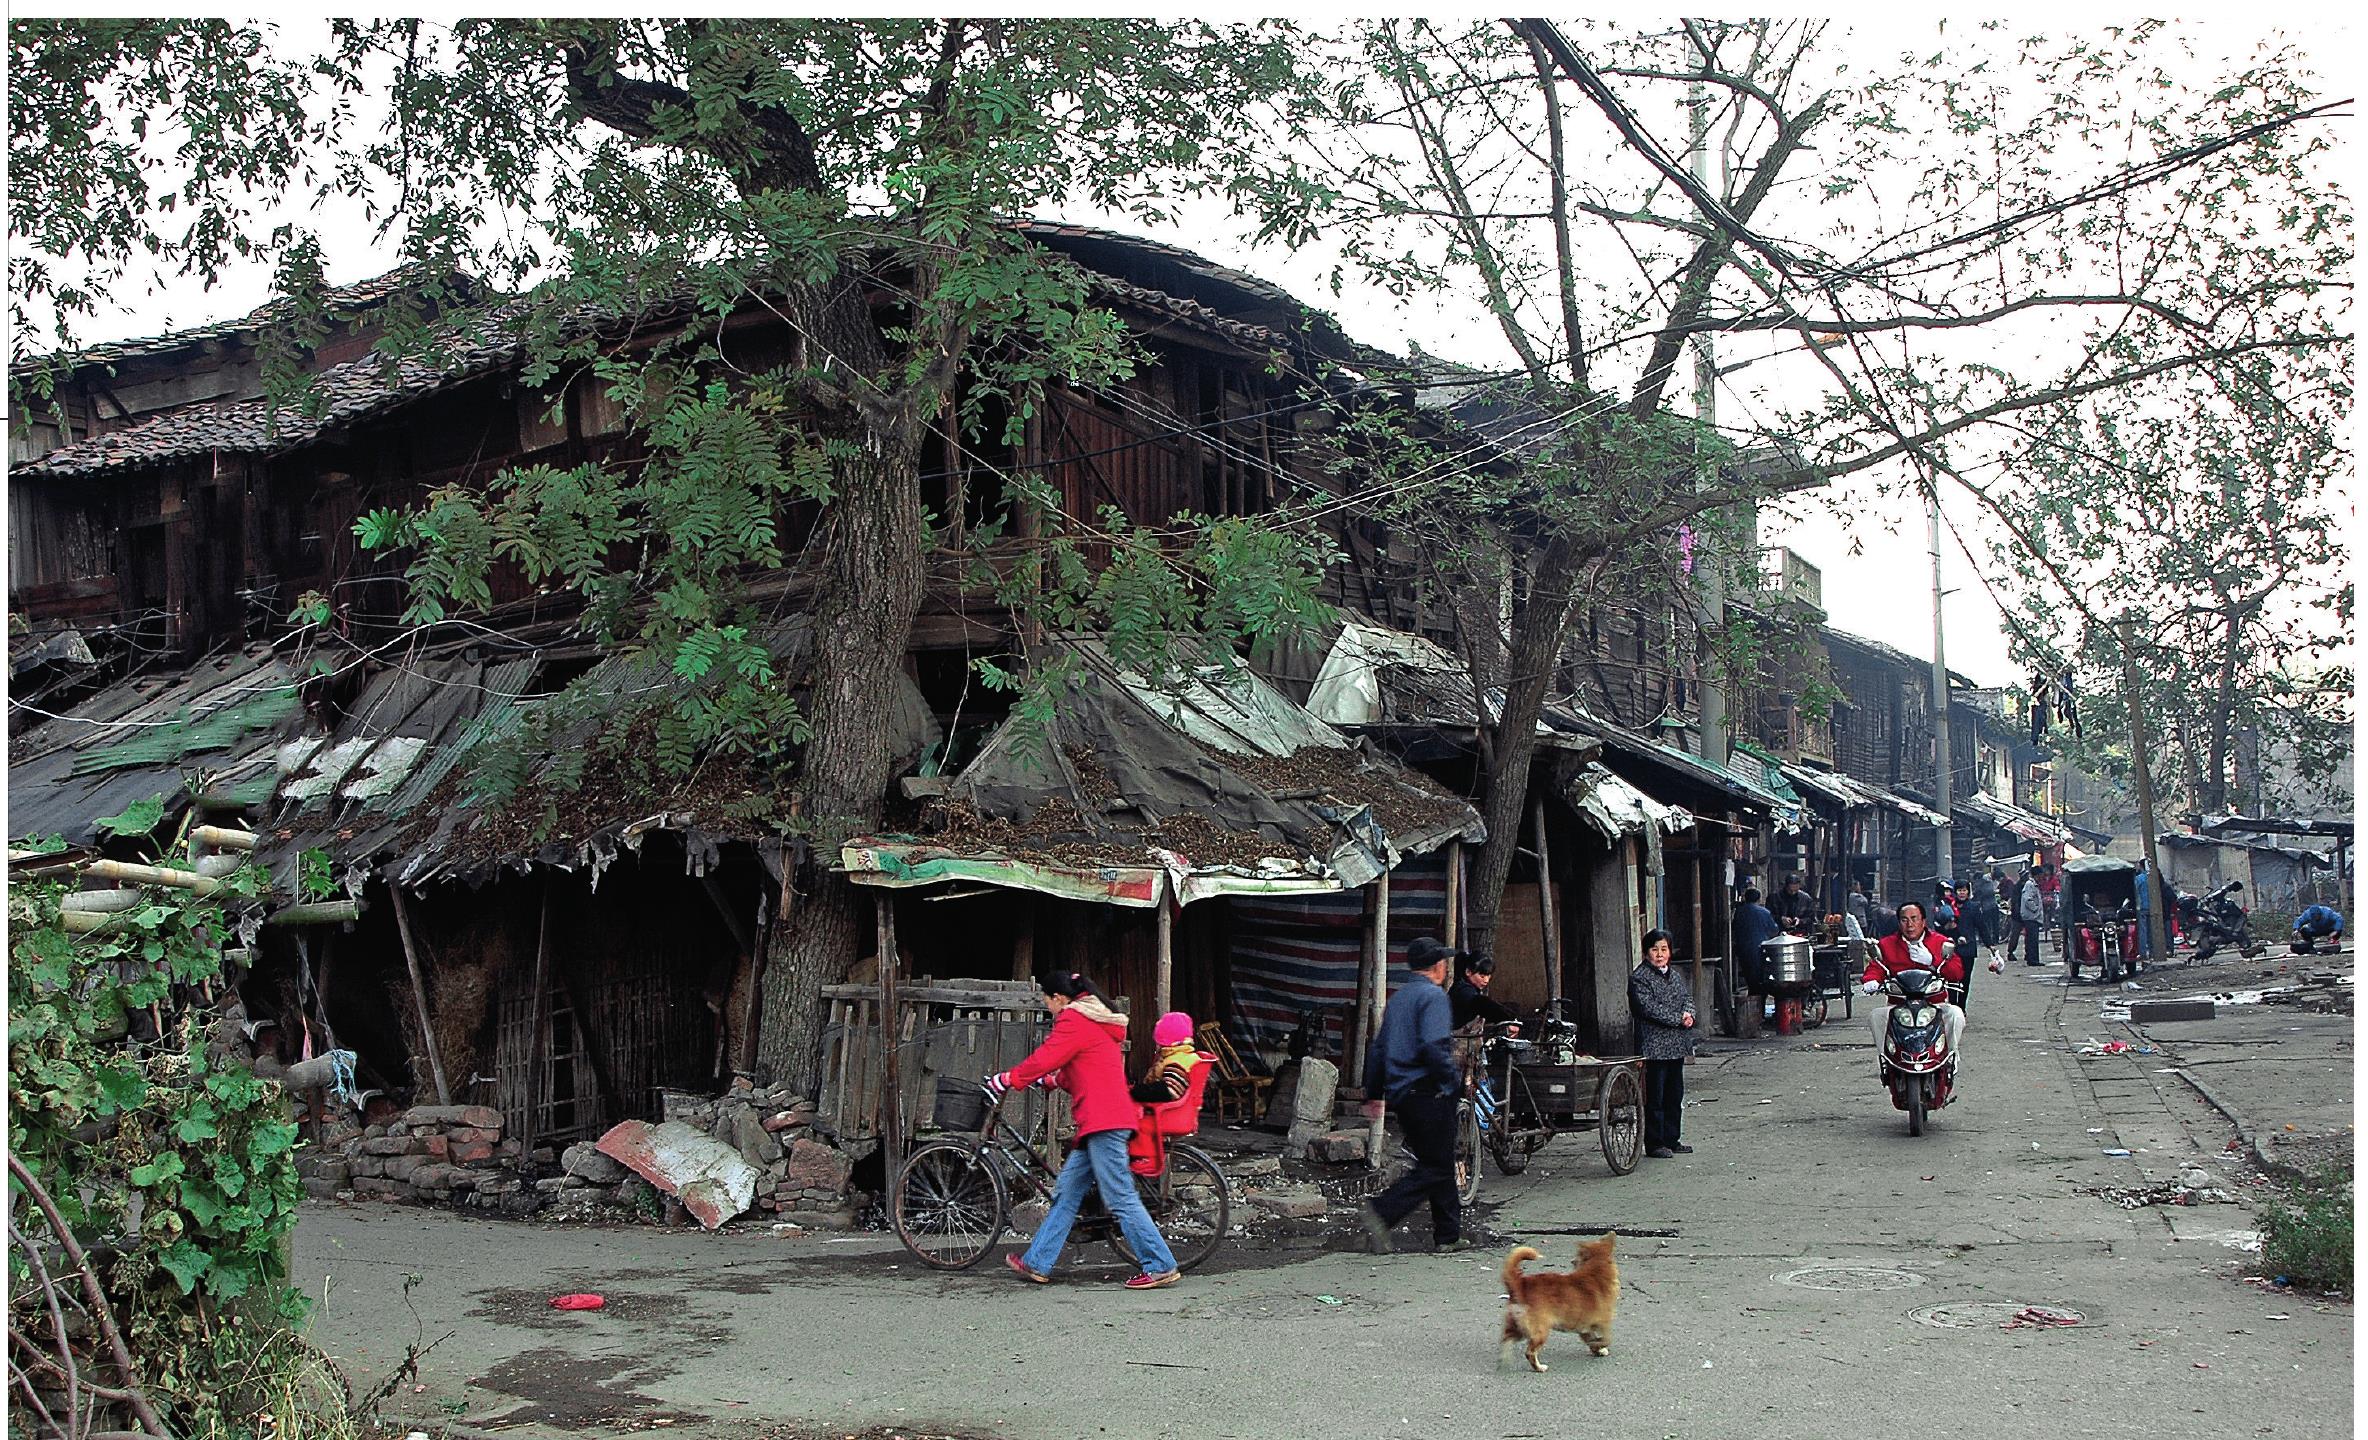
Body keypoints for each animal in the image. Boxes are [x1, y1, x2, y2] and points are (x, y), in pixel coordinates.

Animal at [1506, 1241, 1619, 1373]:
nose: (1572, 1261)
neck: (1596, 1272)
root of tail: (1521, 1284)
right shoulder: (1602, 1323)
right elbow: (1606, 1339)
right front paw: (1599, 1346)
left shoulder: (1584, 1326)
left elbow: (1591, 1339)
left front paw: (1597, 1349)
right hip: (1541, 1331)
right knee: (1530, 1353)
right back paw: (1539, 1367)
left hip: (1514, 1327)